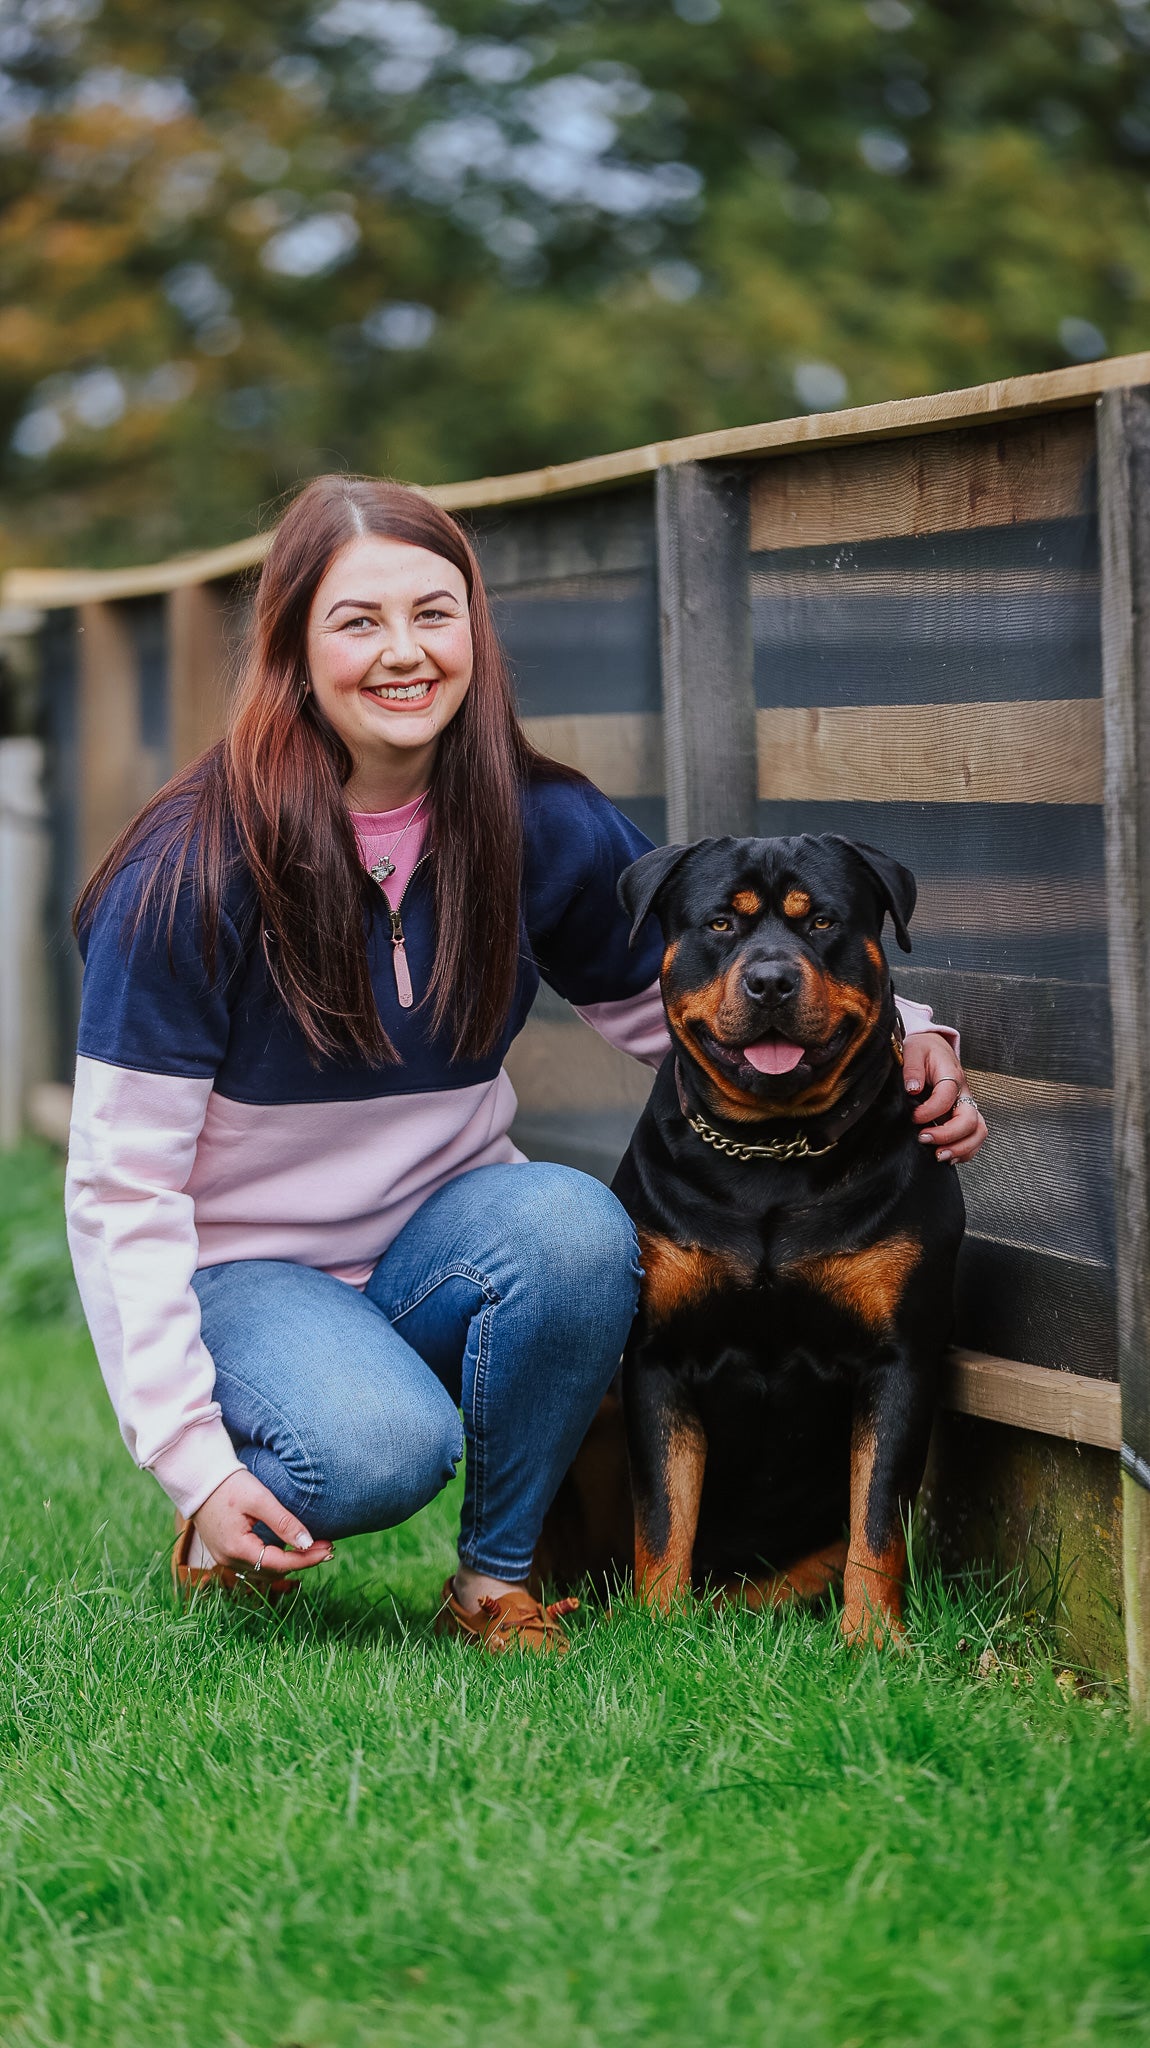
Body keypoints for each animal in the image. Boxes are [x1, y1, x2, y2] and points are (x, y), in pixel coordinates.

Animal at [536, 831, 957, 1646]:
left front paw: (873, 1640)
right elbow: (664, 1511)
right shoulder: (658, 1358)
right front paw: (656, 1629)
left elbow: (877, 1518)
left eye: (821, 920)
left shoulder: (899, 1361)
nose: (769, 981)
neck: (772, 1151)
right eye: (721, 925)